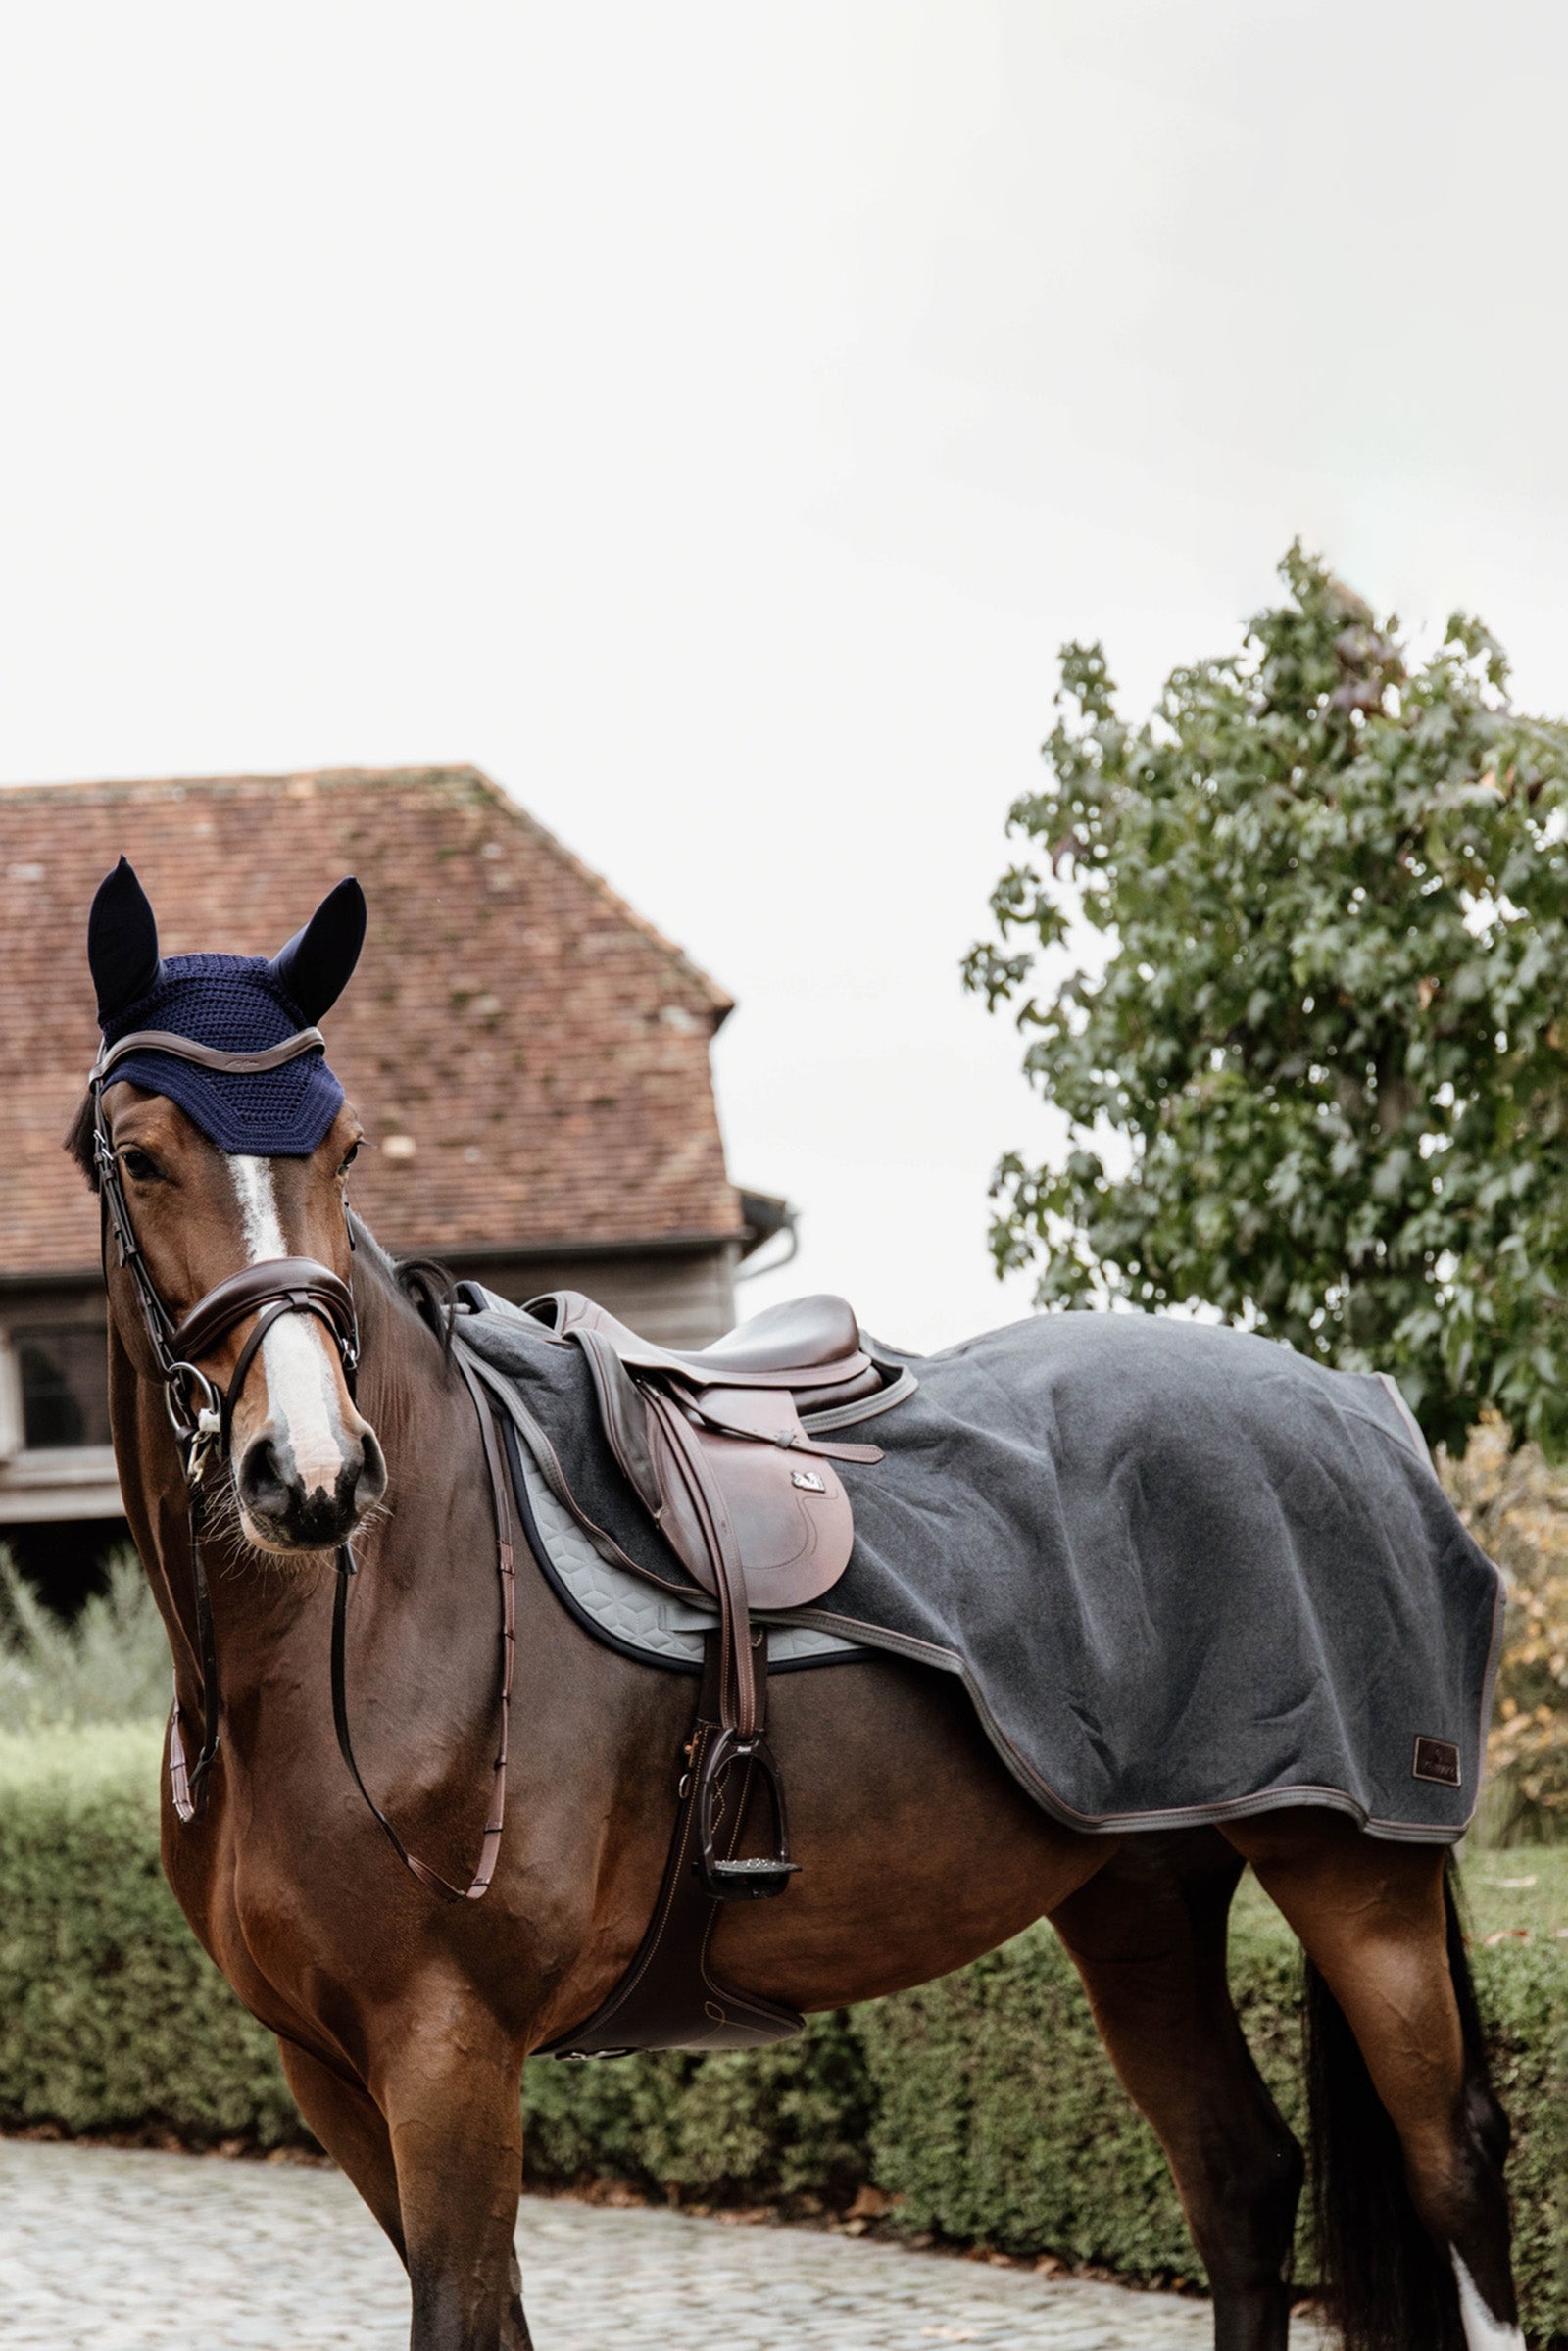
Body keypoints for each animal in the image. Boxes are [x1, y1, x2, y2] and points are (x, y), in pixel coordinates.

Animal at [70, 861, 1520, 2351]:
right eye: (137, 1151)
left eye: (345, 1144)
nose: (311, 1472)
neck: (365, 1632)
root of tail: (1365, 1407)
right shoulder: (329, 2068)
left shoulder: (447, 2049)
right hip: (1139, 1891)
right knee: (1241, 2174)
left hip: (1358, 1876)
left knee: (1452, 2163)